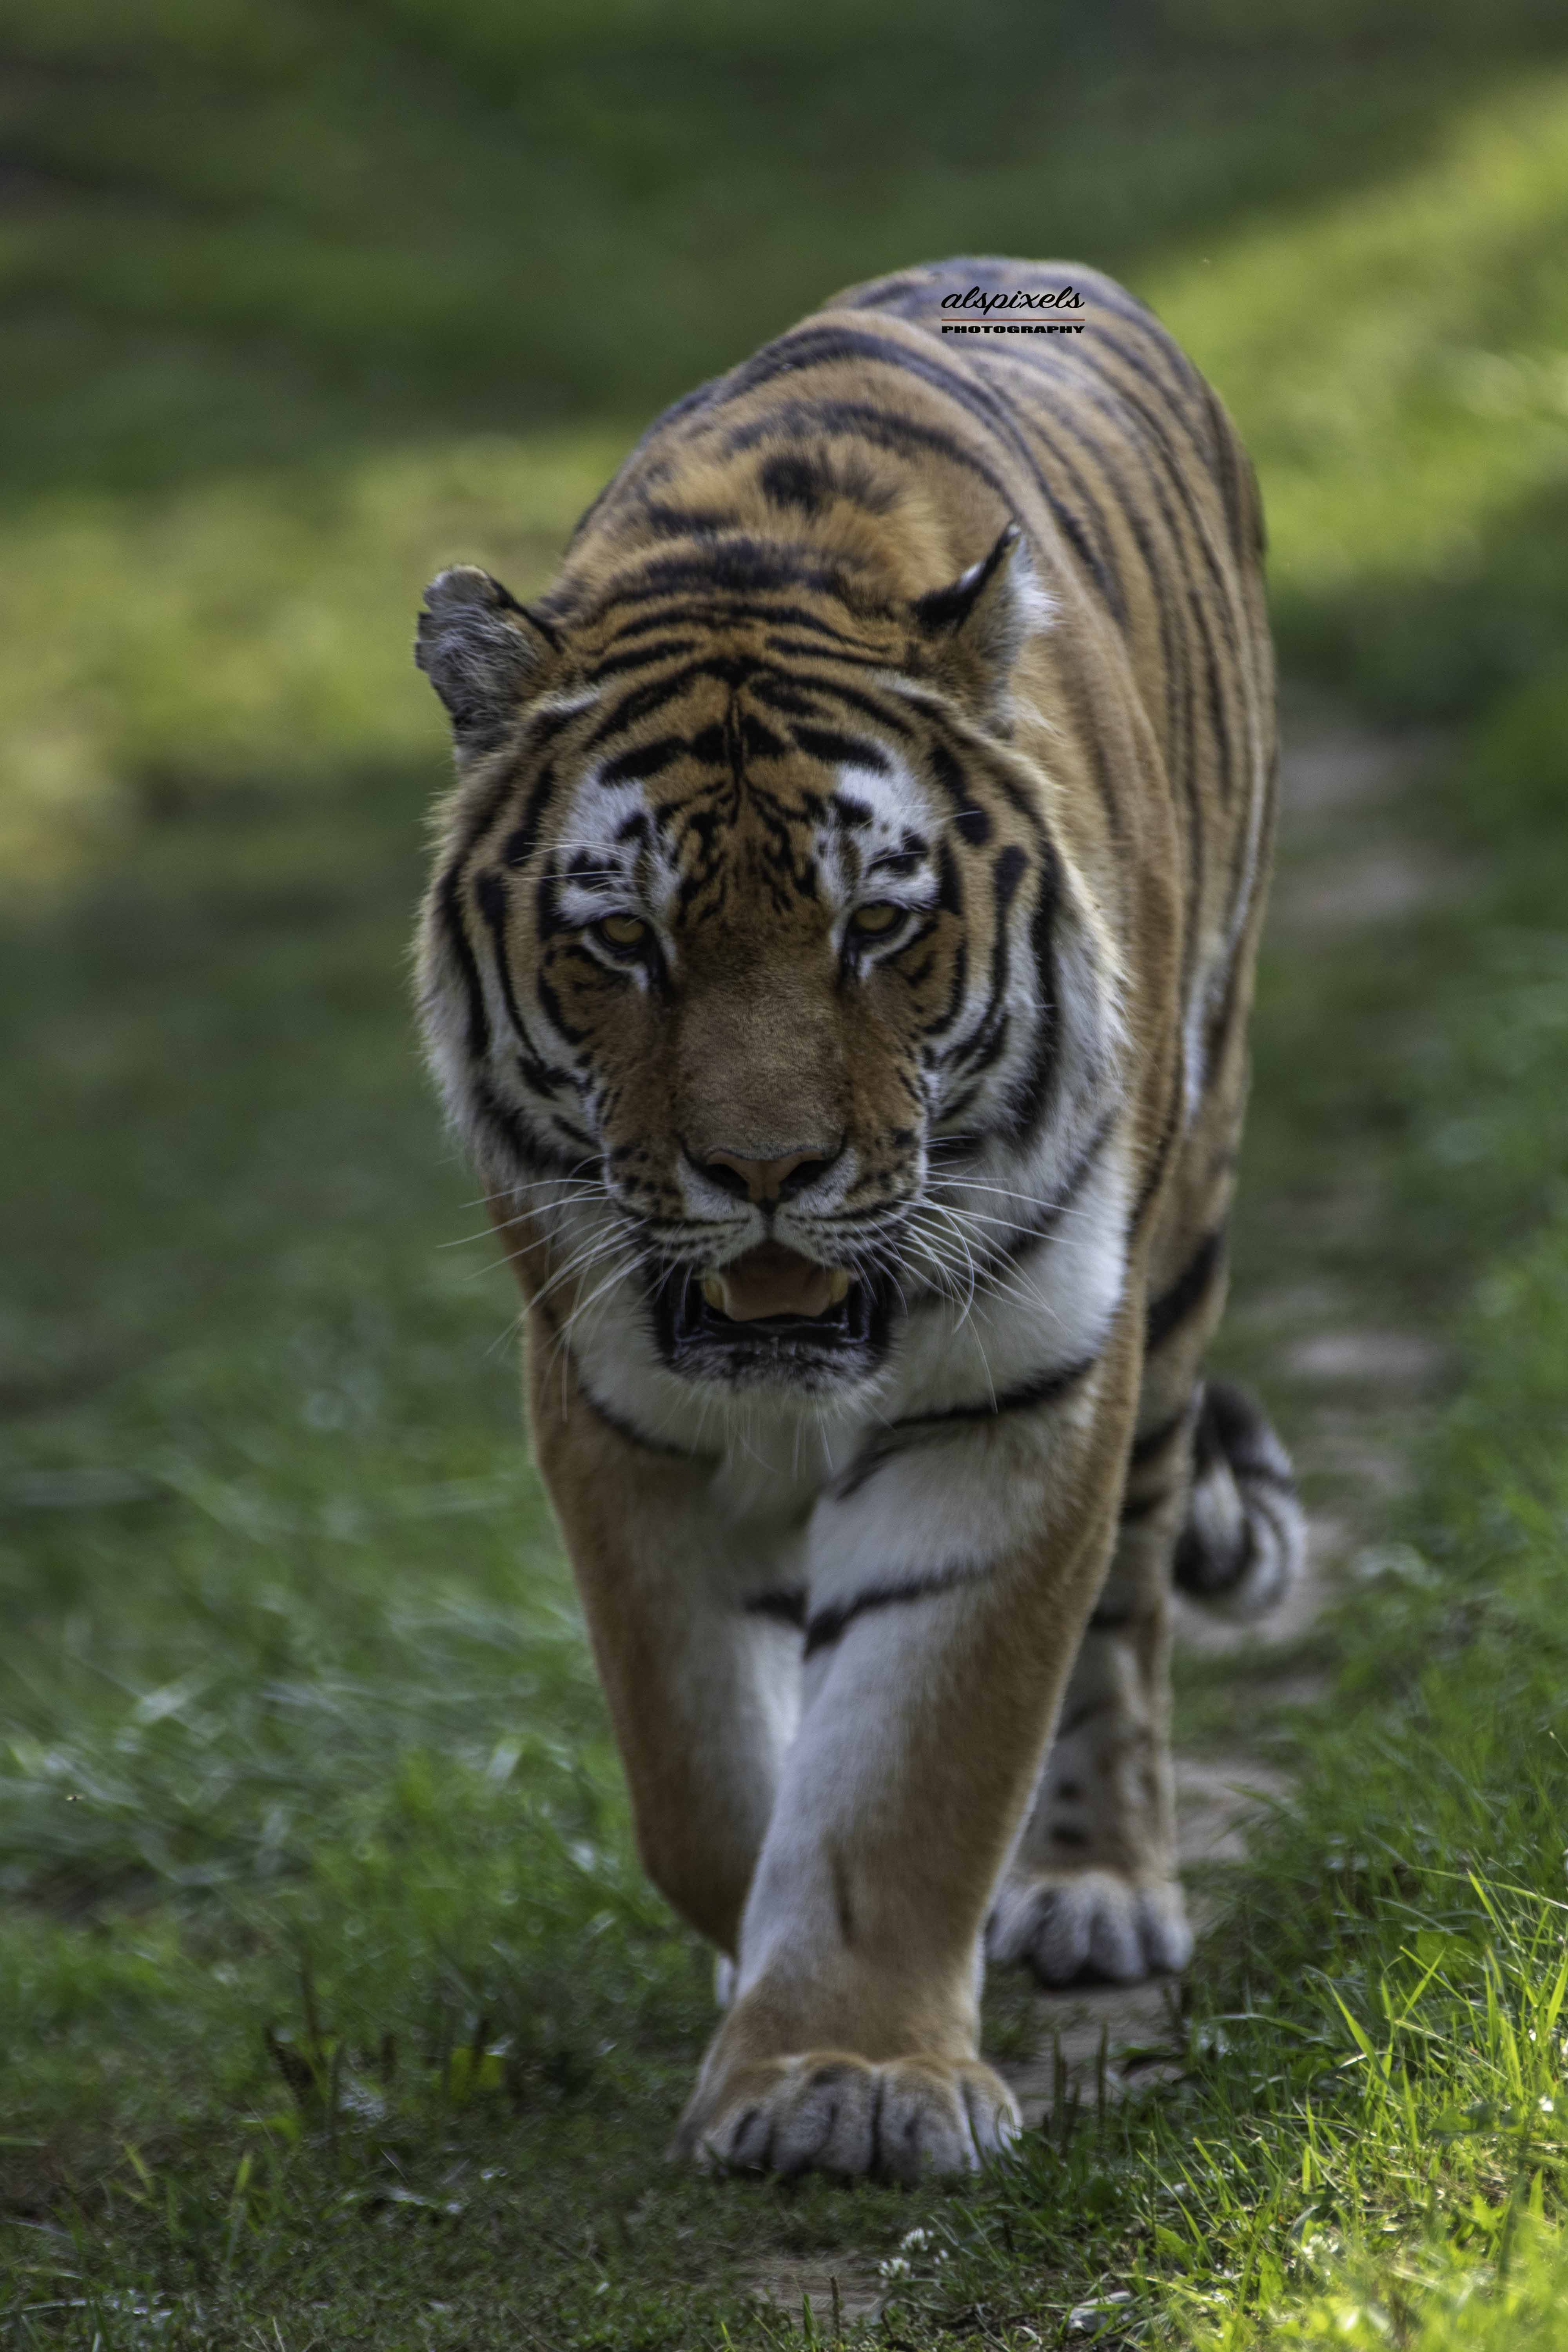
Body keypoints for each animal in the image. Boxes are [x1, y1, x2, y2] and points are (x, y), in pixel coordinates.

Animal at [411, 262, 1307, 2183]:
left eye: (874, 928)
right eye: (623, 941)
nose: (766, 1172)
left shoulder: (1016, 1383)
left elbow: (918, 1755)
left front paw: (848, 2075)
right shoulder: (607, 1395)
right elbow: (697, 1769)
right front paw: (764, 1972)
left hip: (1183, 1229)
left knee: (1127, 1602)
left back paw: (1098, 1887)